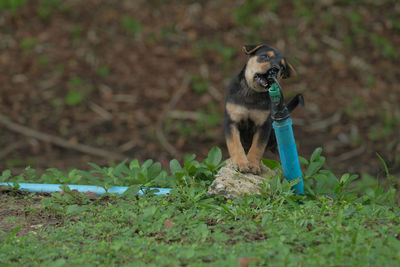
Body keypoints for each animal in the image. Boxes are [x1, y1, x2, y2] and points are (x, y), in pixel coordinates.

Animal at [223, 44, 304, 175]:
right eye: (265, 56)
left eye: (282, 67)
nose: (275, 69)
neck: (252, 93)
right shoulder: (231, 121)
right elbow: (235, 145)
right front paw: (241, 163)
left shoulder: (263, 125)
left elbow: (257, 147)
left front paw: (253, 165)